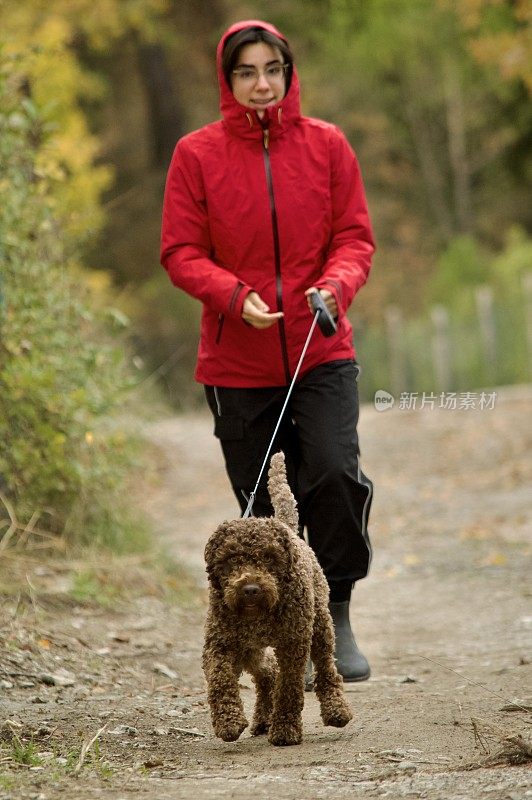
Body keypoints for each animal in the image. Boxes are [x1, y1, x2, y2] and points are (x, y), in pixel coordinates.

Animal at [204, 450, 354, 744]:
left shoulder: (293, 643)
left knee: (326, 668)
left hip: (320, 627)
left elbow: (289, 687)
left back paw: (336, 710)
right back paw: (262, 719)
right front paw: (229, 722)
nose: (251, 589)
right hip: (249, 648)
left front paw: (284, 729)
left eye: (269, 558)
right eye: (232, 559)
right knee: (268, 672)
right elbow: (219, 678)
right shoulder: (219, 642)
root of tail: (286, 526)